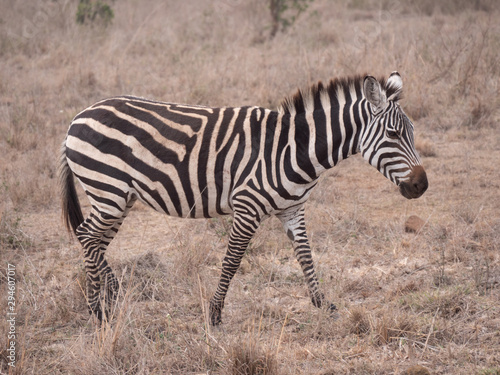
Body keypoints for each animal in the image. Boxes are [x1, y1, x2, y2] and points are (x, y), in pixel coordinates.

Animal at [57, 72, 426, 324]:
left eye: (411, 132)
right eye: (393, 134)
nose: (421, 185)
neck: (294, 149)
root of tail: (78, 116)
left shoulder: (293, 209)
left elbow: (306, 257)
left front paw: (324, 304)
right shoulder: (247, 206)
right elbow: (232, 261)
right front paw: (215, 314)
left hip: (118, 197)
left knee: (95, 241)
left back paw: (113, 296)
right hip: (108, 190)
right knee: (87, 235)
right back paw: (98, 311)